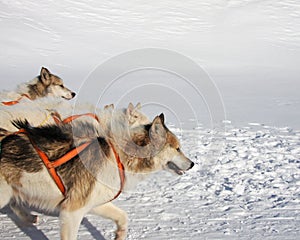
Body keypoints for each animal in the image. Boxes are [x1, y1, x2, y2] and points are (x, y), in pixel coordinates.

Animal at [0, 113, 195, 239]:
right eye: (177, 148)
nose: (193, 163)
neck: (118, 156)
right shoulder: (72, 212)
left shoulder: (93, 203)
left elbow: (123, 217)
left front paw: (119, 235)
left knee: (15, 204)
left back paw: (29, 217)